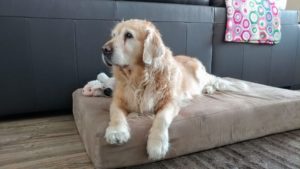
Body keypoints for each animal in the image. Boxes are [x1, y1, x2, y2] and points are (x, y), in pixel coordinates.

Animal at [101, 18, 246, 160]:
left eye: (128, 35)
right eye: (113, 35)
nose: (104, 49)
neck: (141, 78)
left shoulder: (171, 101)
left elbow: (162, 118)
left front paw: (157, 145)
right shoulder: (118, 100)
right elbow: (116, 114)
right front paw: (116, 132)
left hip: (200, 75)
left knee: (211, 82)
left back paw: (208, 89)